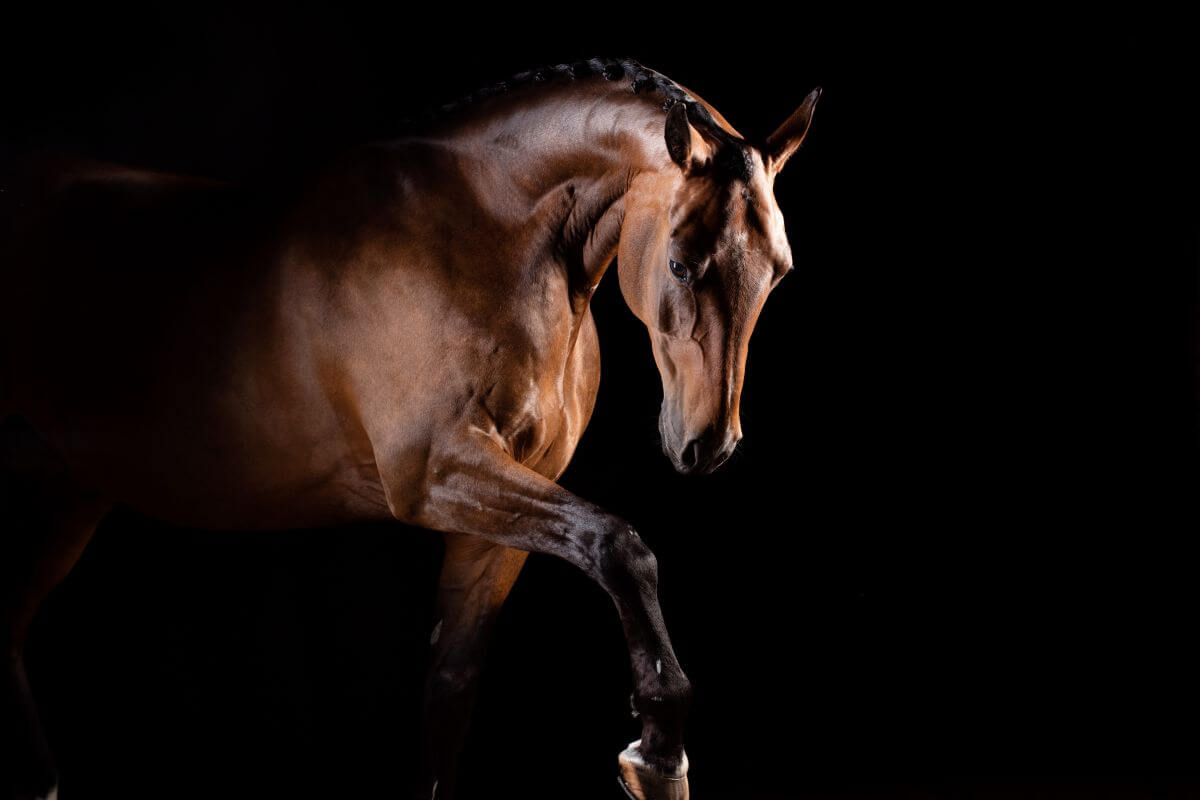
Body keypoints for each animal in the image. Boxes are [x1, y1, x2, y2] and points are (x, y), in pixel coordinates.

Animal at [0, 57, 816, 800]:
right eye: (680, 263)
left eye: (780, 269)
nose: (709, 445)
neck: (493, 235)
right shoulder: (434, 475)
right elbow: (621, 547)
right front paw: (658, 752)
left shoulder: (497, 525)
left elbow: (449, 693)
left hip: (62, 500)